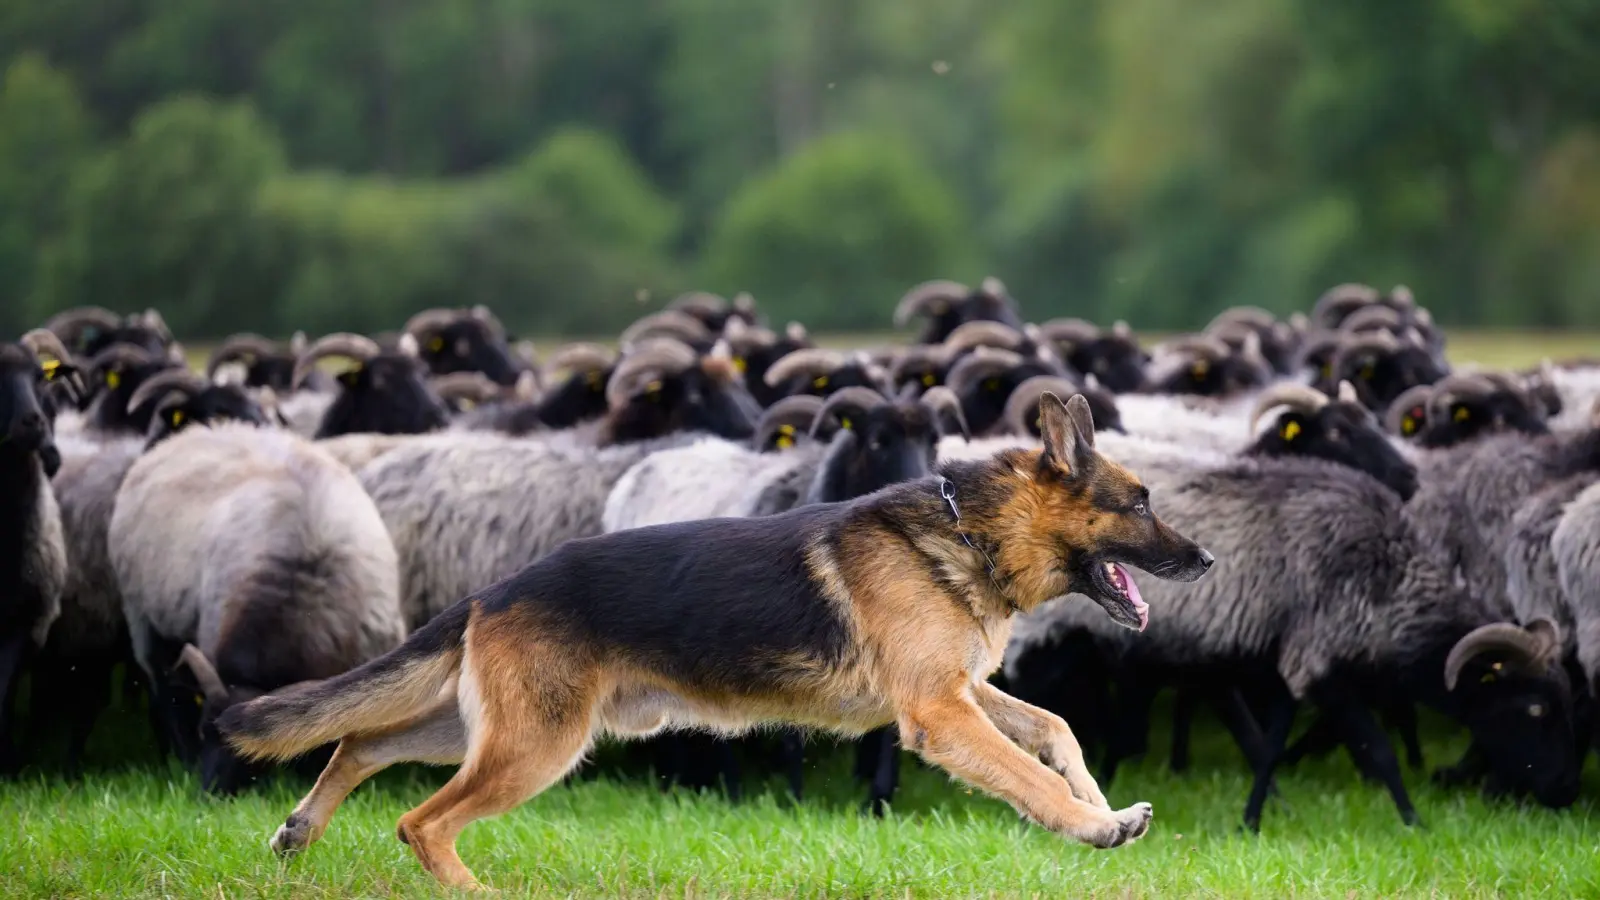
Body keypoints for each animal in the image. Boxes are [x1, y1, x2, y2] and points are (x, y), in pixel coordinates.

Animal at [216, 392, 1209, 883]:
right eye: (1140, 505)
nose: (1204, 558)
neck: (972, 532)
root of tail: (497, 590)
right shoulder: (940, 714)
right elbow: (1026, 776)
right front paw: (1092, 826)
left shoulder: (962, 693)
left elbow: (1054, 729)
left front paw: (1103, 801)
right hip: (535, 746)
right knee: (422, 821)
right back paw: (468, 889)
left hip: (483, 730)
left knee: (358, 740)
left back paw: (299, 832)